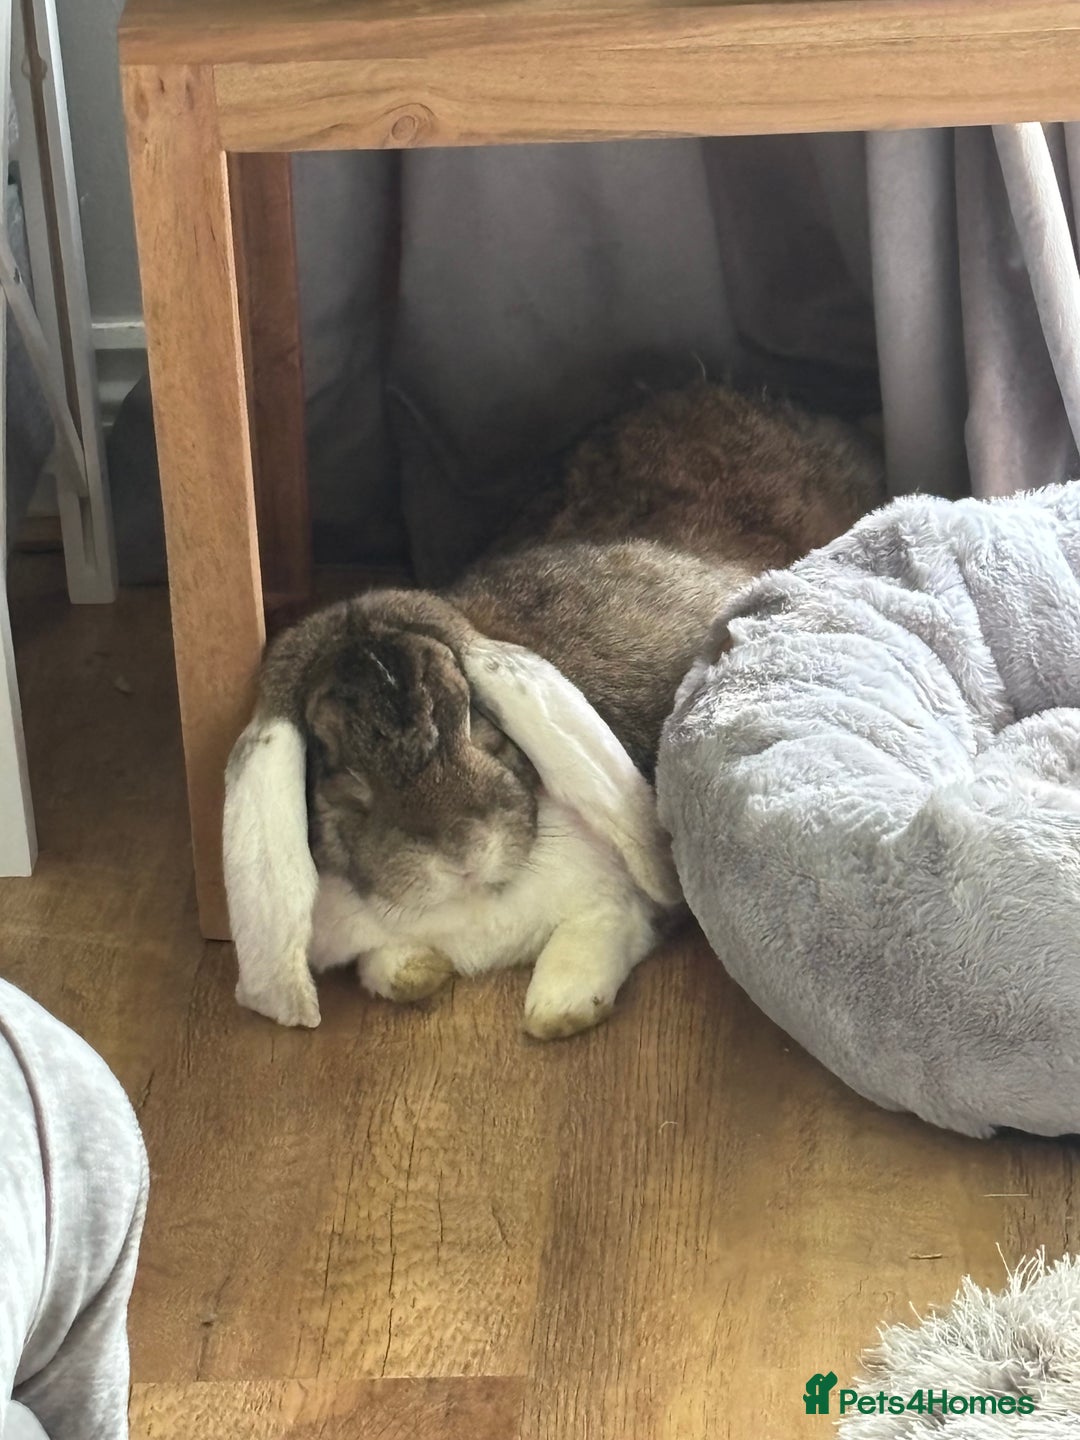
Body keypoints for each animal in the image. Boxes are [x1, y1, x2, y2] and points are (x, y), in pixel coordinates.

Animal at [224, 381, 885, 1034]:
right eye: (342, 775)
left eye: (476, 721)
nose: (462, 851)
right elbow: (384, 963)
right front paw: (417, 972)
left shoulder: (624, 901)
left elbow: (600, 933)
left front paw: (558, 1008)